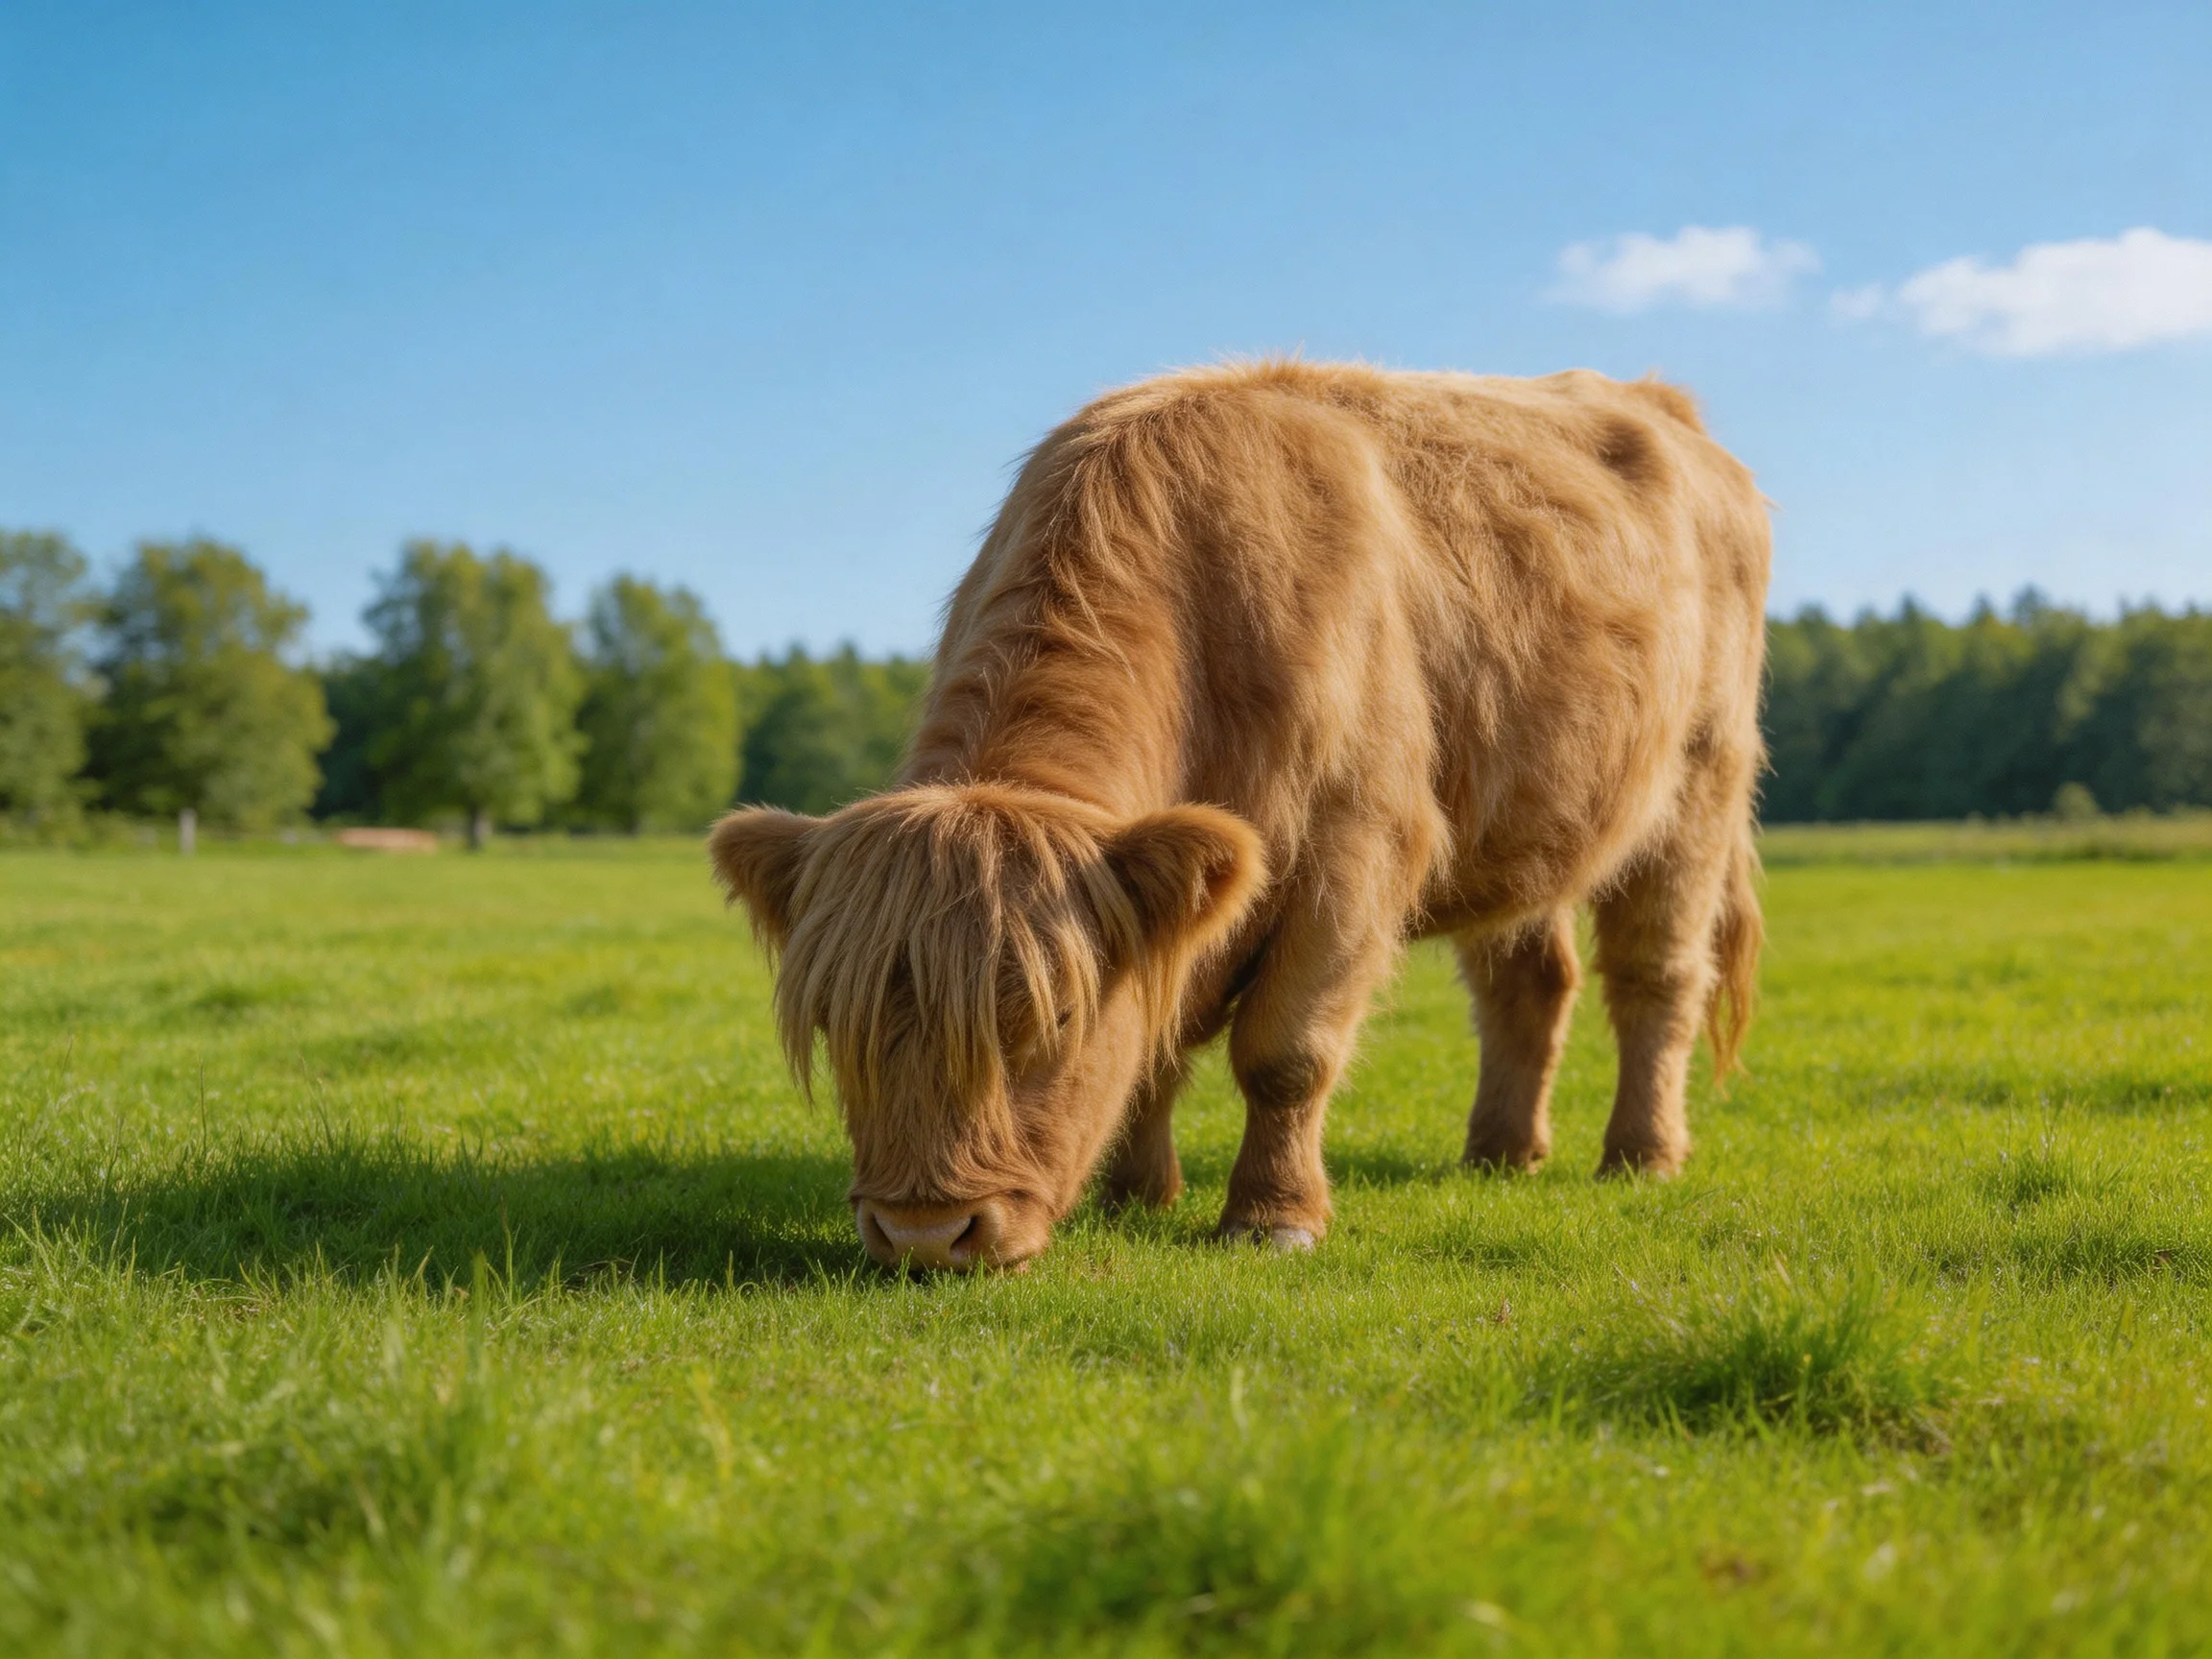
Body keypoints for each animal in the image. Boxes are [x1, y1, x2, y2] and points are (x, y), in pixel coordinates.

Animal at [711, 361, 1769, 1270]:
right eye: (837, 1022)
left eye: (1055, 1016)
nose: (925, 1233)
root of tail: (1661, 405)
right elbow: (1159, 1037)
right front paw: (1136, 1194)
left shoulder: (1356, 851)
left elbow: (1285, 1054)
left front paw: (1272, 1218)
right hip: (1522, 817)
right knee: (1530, 983)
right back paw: (1500, 1153)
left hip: (1697, 790)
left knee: (1657, 979)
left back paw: (1641, 1155)